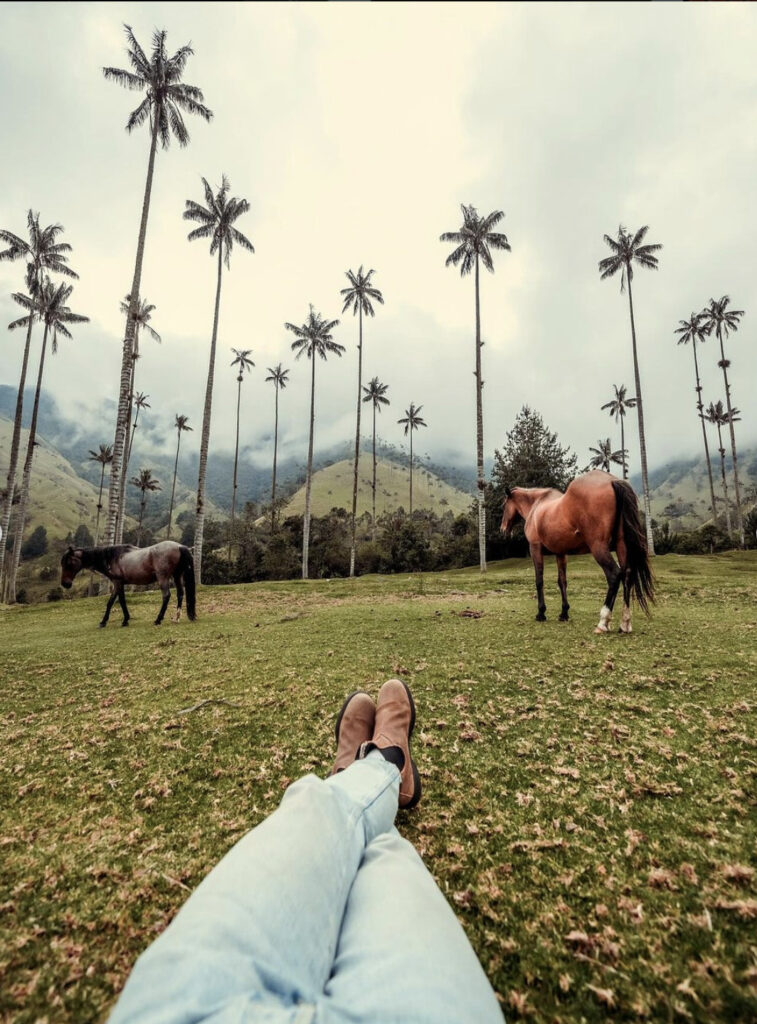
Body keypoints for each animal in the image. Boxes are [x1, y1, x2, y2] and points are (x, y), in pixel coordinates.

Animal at [60, 540, 196, 626]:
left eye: (68, 563)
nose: (65, 584)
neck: (111, 558)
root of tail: (179, 546)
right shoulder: (118, 584)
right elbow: (114, 602)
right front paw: (108, 621)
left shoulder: (117, 582)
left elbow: (118, 601)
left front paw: (119, 620)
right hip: (177, 576)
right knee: (180, 594)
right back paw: (176, 618)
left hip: (163, 578)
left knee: (166, 596)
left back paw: (158, 619)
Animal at [499, 471, 655, 630]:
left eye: (504, 505)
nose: (503, 529)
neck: (537, 505)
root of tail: (612, 481)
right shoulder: (560, 553)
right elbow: (562, 581)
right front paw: (564, 613)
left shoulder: (535, 548)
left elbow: (539, 580)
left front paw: (541, 613)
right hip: (621, 546)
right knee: (627, 575)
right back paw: (625, 623)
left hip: (598, 547)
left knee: (614, 575)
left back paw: (603, 621)